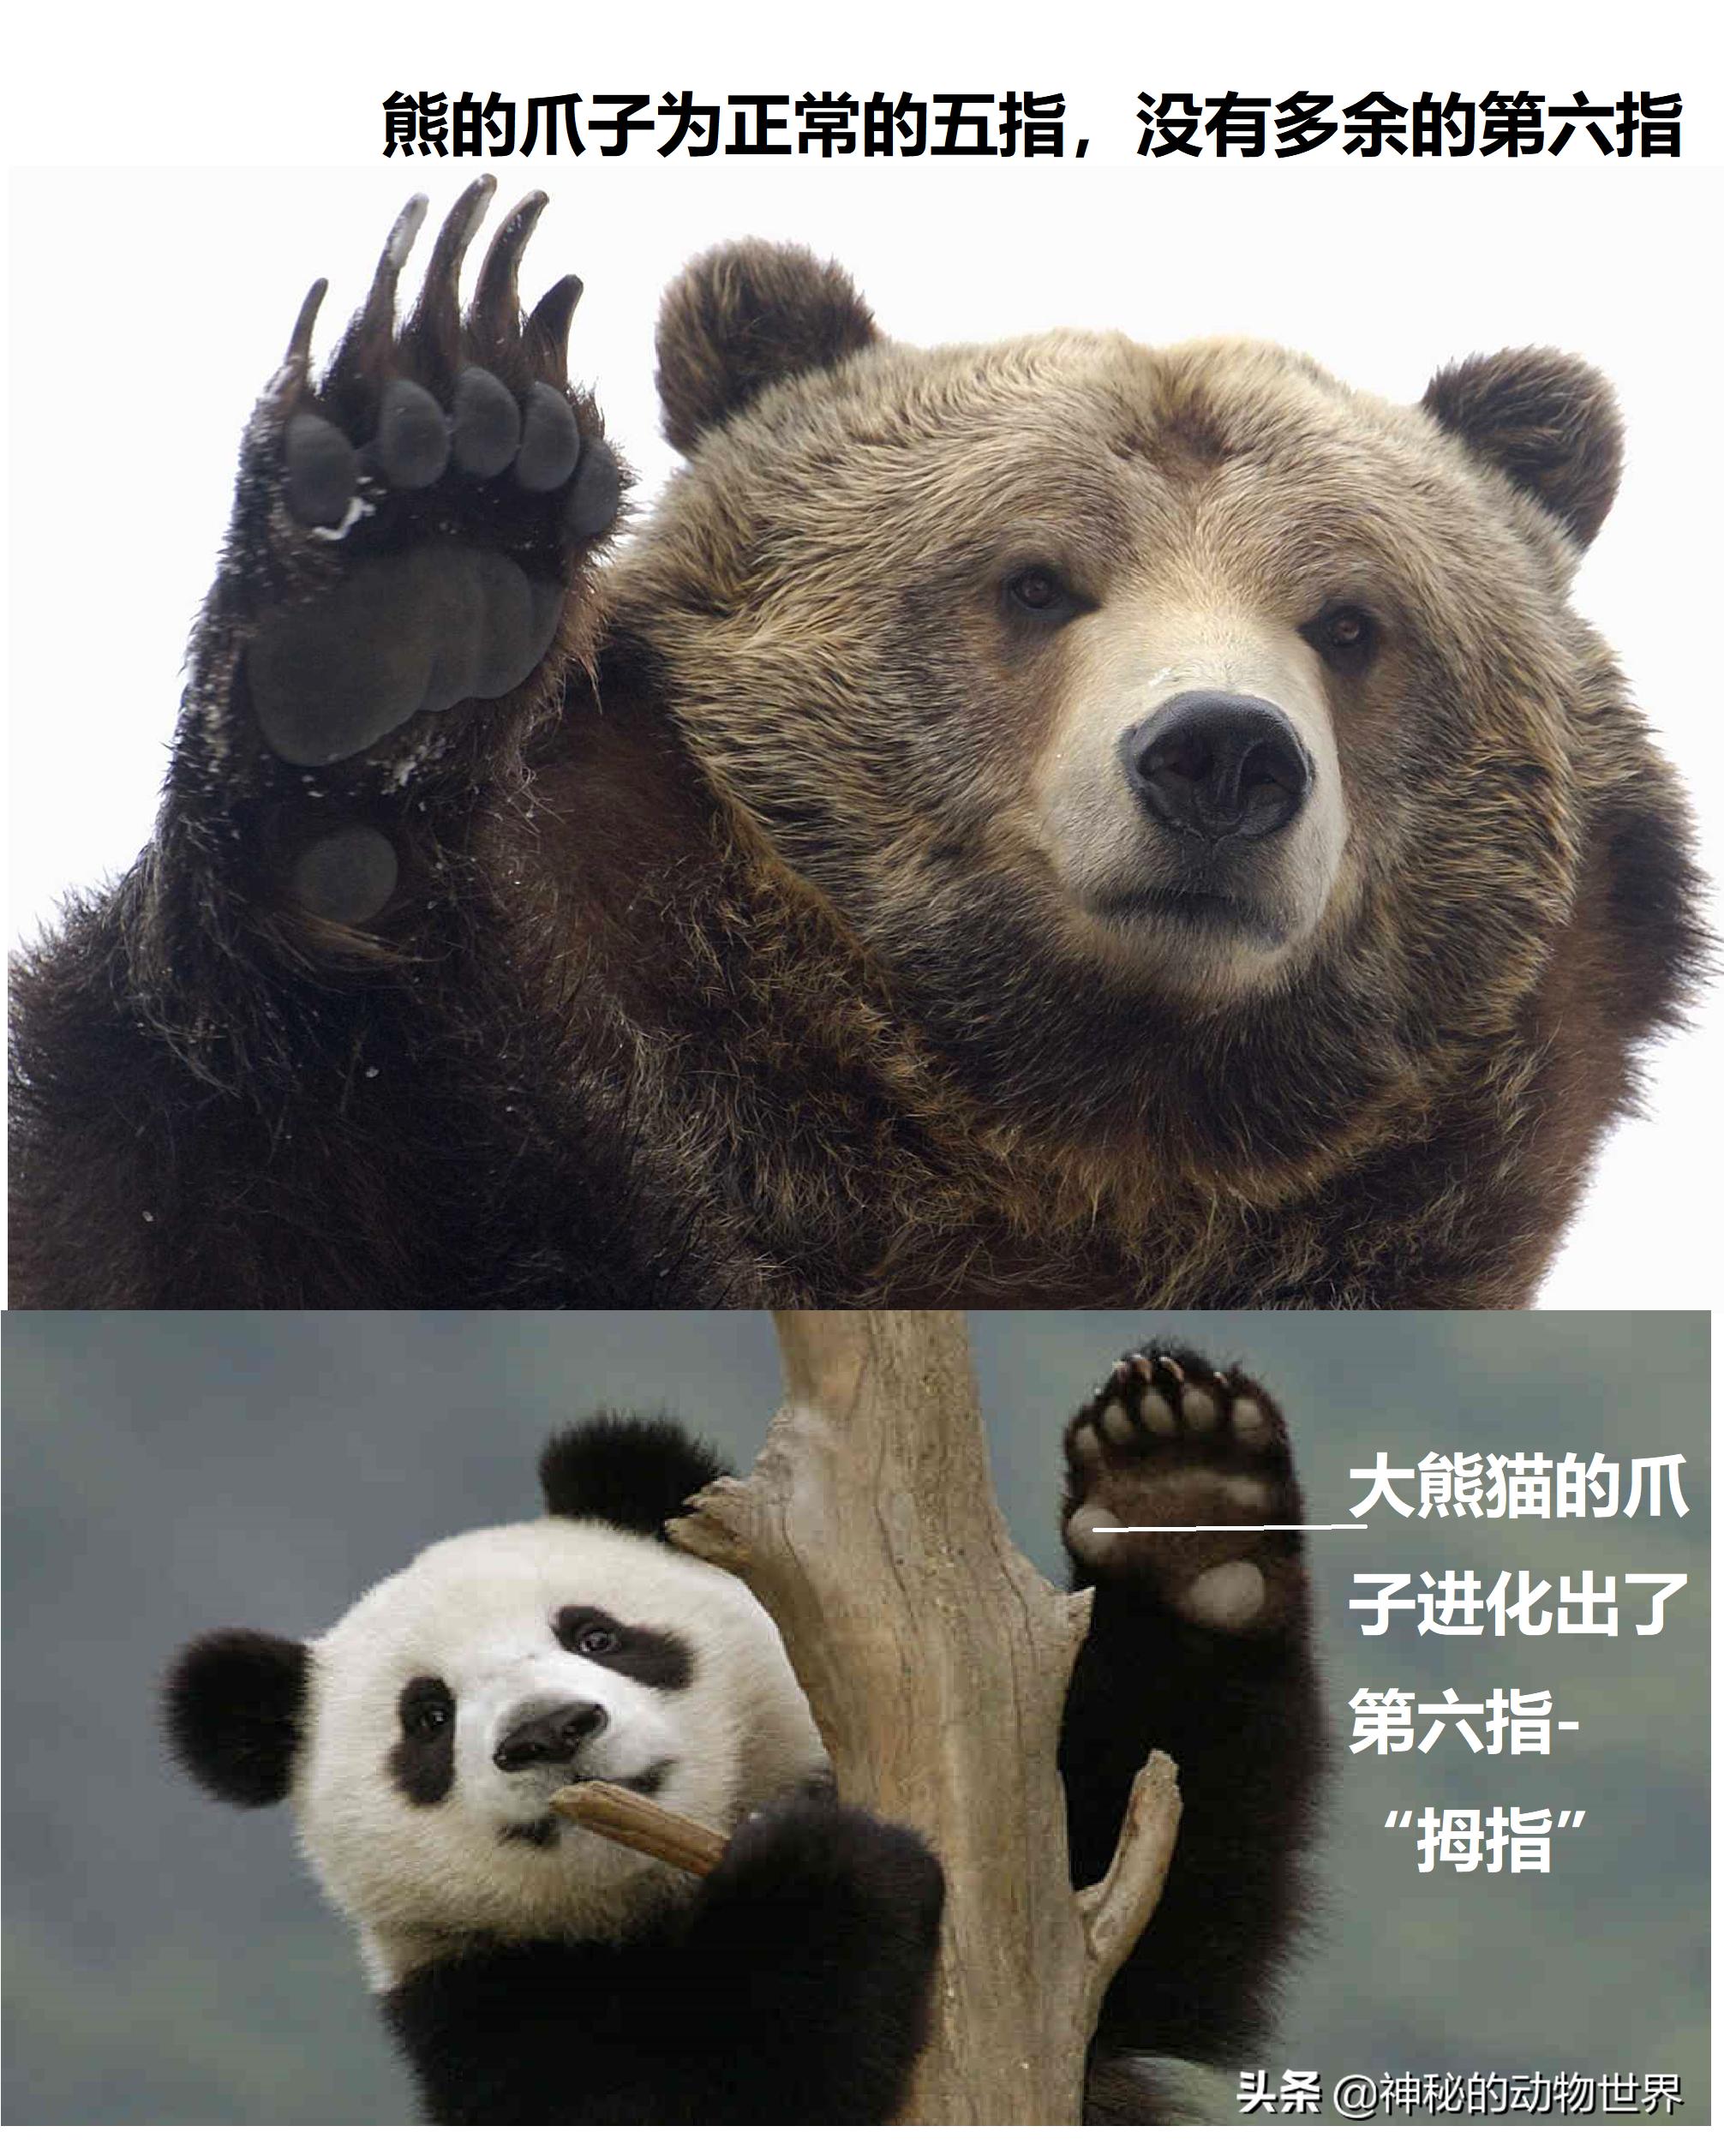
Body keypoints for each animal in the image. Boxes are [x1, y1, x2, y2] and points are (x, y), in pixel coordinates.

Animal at [163, 1351, 1321, 2123]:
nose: (549, 1729)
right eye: (428, 1718)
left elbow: (1152, 1901)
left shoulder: (1072, 1973)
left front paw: (1180, 1500)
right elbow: (727, 2087)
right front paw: (827, 1867)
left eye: (597, 1633)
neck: (660, 1893)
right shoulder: (486, 2010)